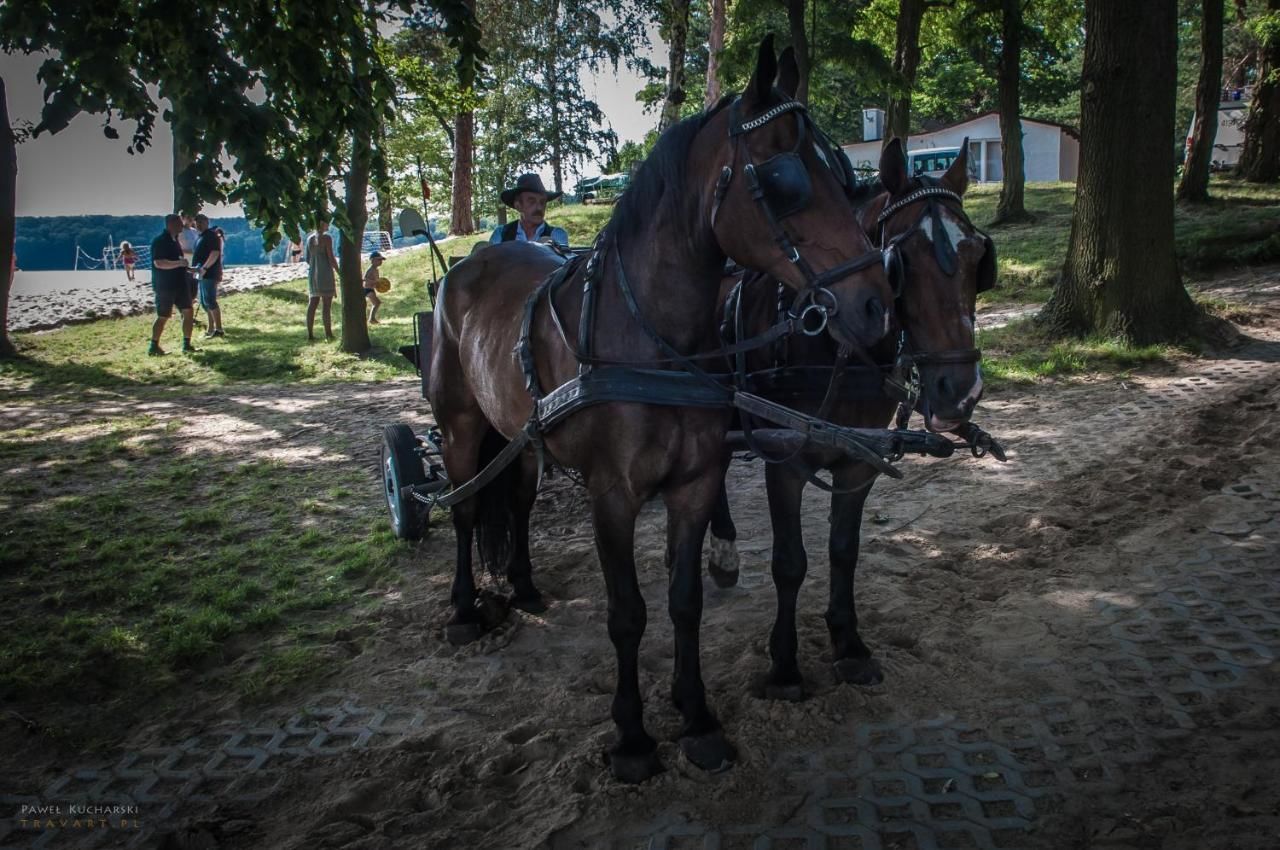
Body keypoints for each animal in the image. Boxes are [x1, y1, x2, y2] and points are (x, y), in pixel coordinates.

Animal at [424, 39, 896, 783]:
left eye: (845, 176)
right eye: (786, 180)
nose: (876, 306)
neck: (651, 338)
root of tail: (463, 267)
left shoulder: (695, 484)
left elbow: (684, 602)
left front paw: (697, 717)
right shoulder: (613, 497)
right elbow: (627, 614)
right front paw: (634, 737)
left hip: (520, 437)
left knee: (518, 501)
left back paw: (524, 587)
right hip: (460, 428)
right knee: (468, 508)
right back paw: (466, 610)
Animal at [706, 137, 993, 696]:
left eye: (977, 255)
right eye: (901, 260)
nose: (960, 393)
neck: (835, 346)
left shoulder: (860, 462)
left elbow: (843, 549)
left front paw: (849, 644)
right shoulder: (786, 461)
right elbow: (790, 562)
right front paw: (784, 665)